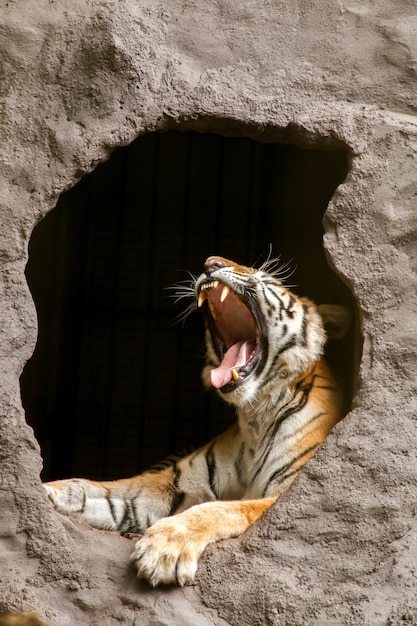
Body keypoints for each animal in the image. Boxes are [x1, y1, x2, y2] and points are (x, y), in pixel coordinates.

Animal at [44, 254, 350, 584]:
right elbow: (98, 490)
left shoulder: (282, 495)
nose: (211, 262)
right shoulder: (173, 482)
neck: (256, 417)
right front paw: (44, 491)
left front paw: (163, 548)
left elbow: (220, 509)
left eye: (263, 275)